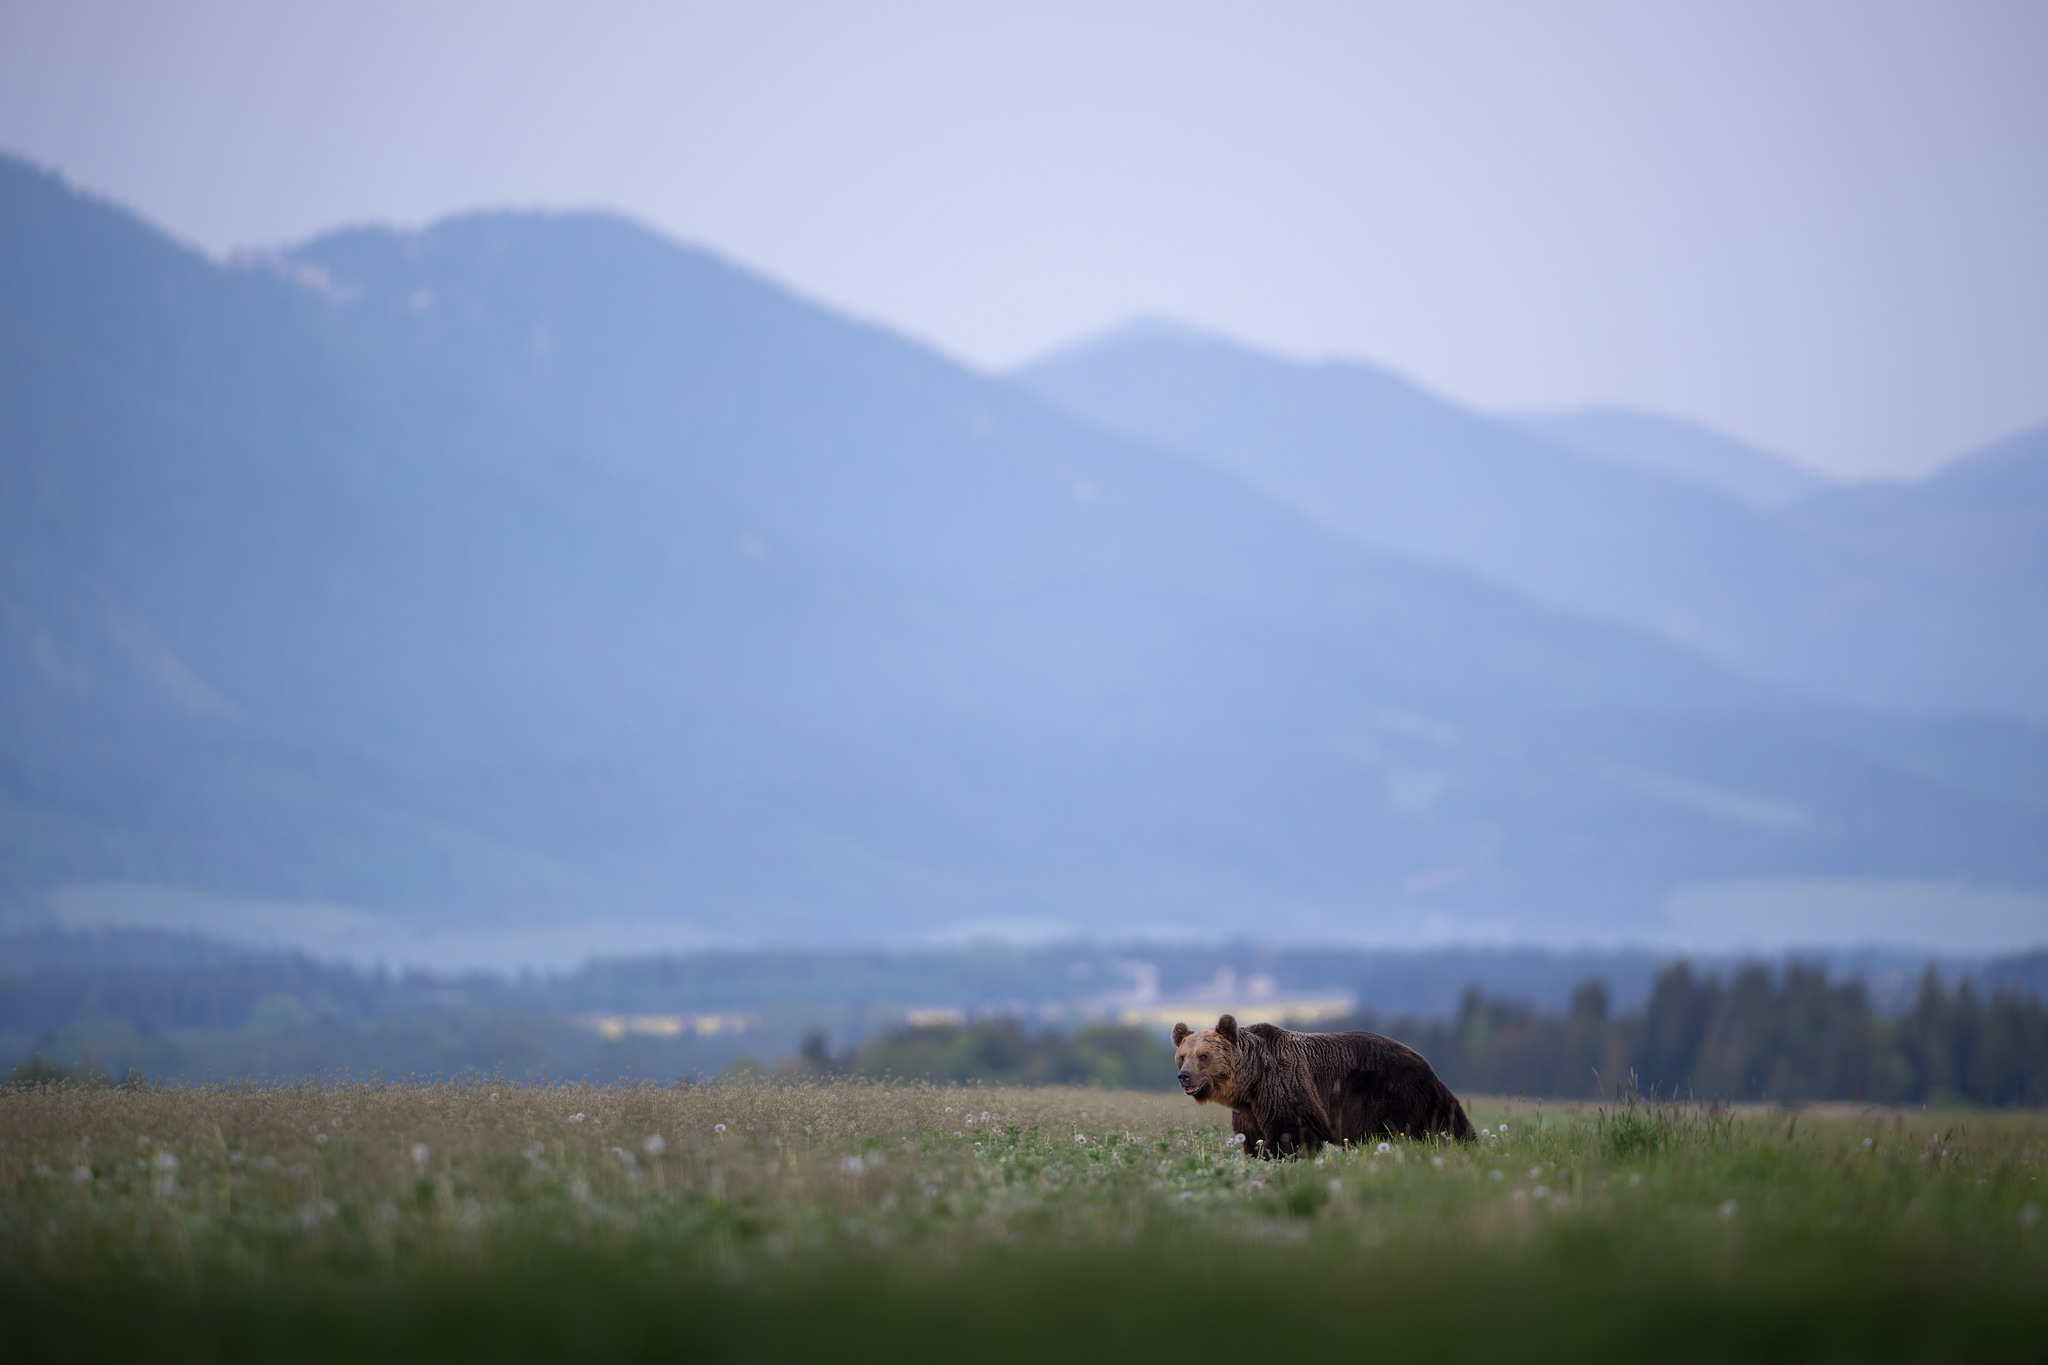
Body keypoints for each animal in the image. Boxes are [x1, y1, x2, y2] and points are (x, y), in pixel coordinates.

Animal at [1172, 1013, 1473, 1156]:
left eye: (1203, 1055)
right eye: (1182, 1056)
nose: (1184, 1076)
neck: (1252, 1081)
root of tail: (1423, 1060)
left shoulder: (1286, 1087)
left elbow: (1291, 1134)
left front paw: (1278, 1157)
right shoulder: (1250, 1111)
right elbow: (1252, 1140)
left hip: (1392, 1093)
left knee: (1445, 1123)